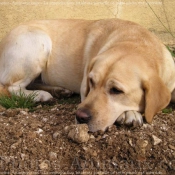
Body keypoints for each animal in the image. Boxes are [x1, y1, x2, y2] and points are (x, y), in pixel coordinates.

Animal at [0, 19, 175, 131]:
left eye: (116, 90)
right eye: (91, 82)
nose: (80, 117)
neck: (136, 41)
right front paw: (128, 113)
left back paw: (58, 90)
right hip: (38, 42)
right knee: (11, 87)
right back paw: (40, 96)